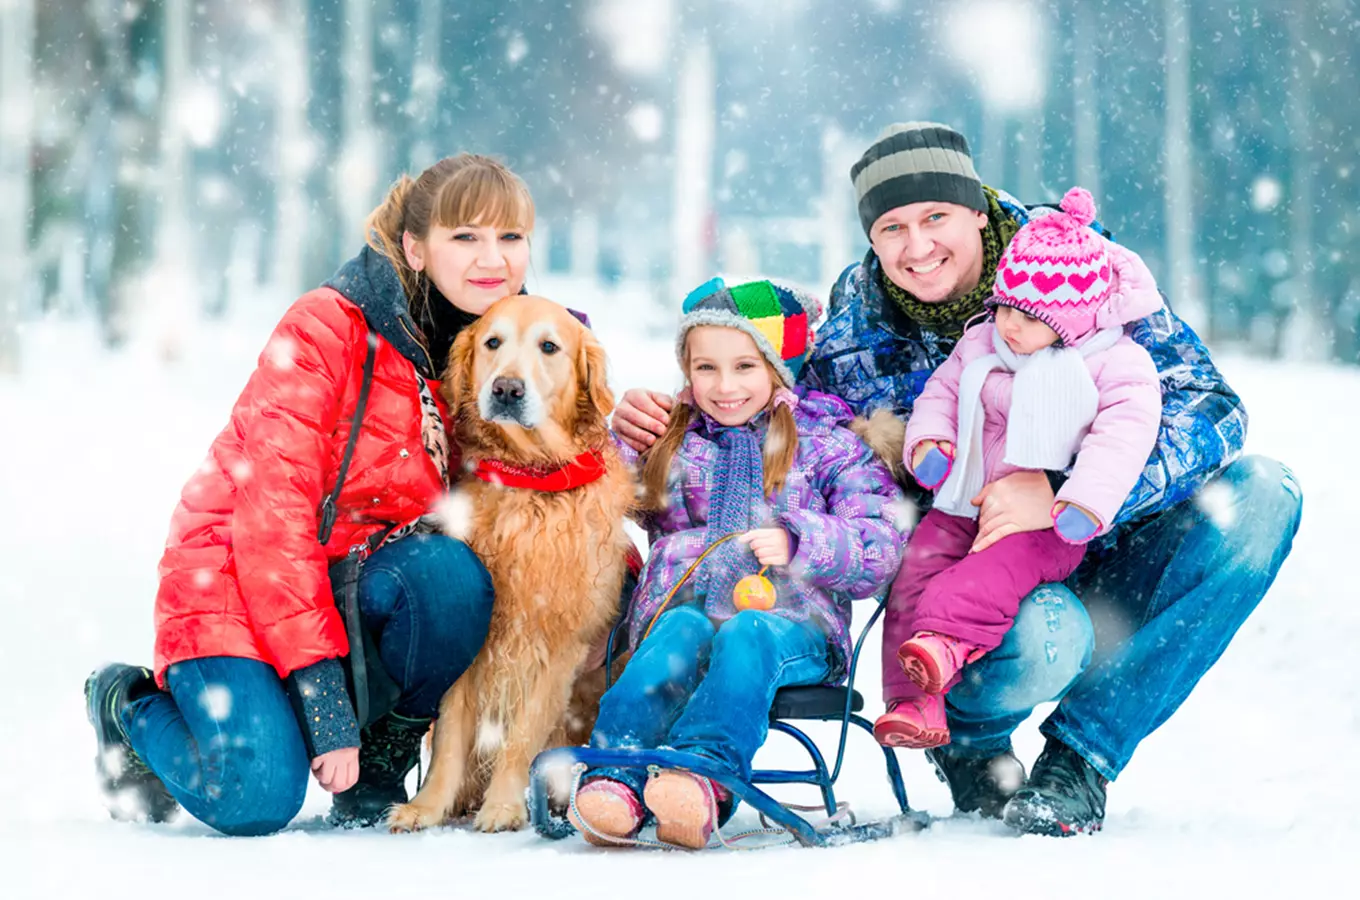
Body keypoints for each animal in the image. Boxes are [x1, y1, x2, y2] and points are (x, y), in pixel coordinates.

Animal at [386, 296, 633, 837]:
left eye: (549, 347)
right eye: (492, 342)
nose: (506, 389)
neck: (528, 479)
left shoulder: (560, 643)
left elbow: (522, 734)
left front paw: (502, 805)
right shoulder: (474, 642)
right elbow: (450, 736)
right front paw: (428, 806)